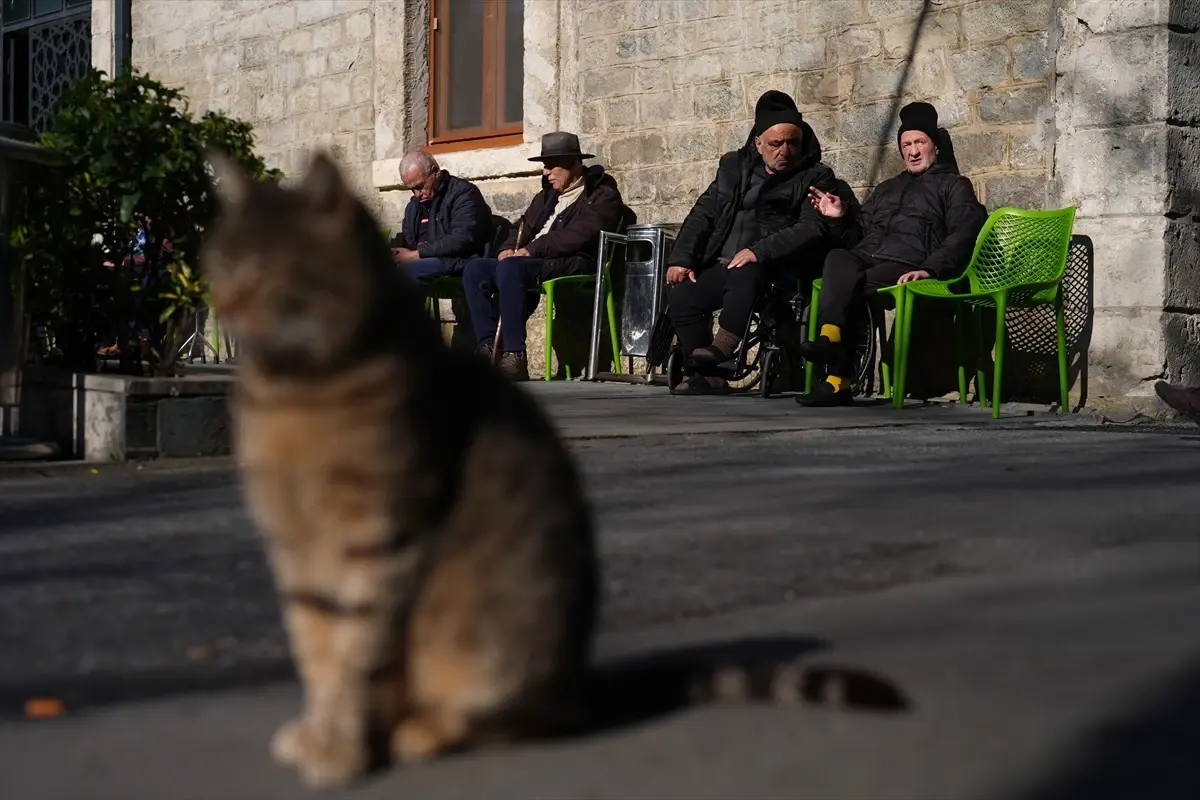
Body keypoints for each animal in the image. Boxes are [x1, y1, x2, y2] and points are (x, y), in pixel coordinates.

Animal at [201, 149, 902, 786]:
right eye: (218, 266)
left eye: (267, 271)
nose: (224, 307)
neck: (295, 394)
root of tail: (578, 680)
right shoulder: (296, 551)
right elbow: (317, 649)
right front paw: (320, 733)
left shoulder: (382, 537)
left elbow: (357, 654)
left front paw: (341, 751)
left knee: (516, 718)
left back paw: (421, 731)